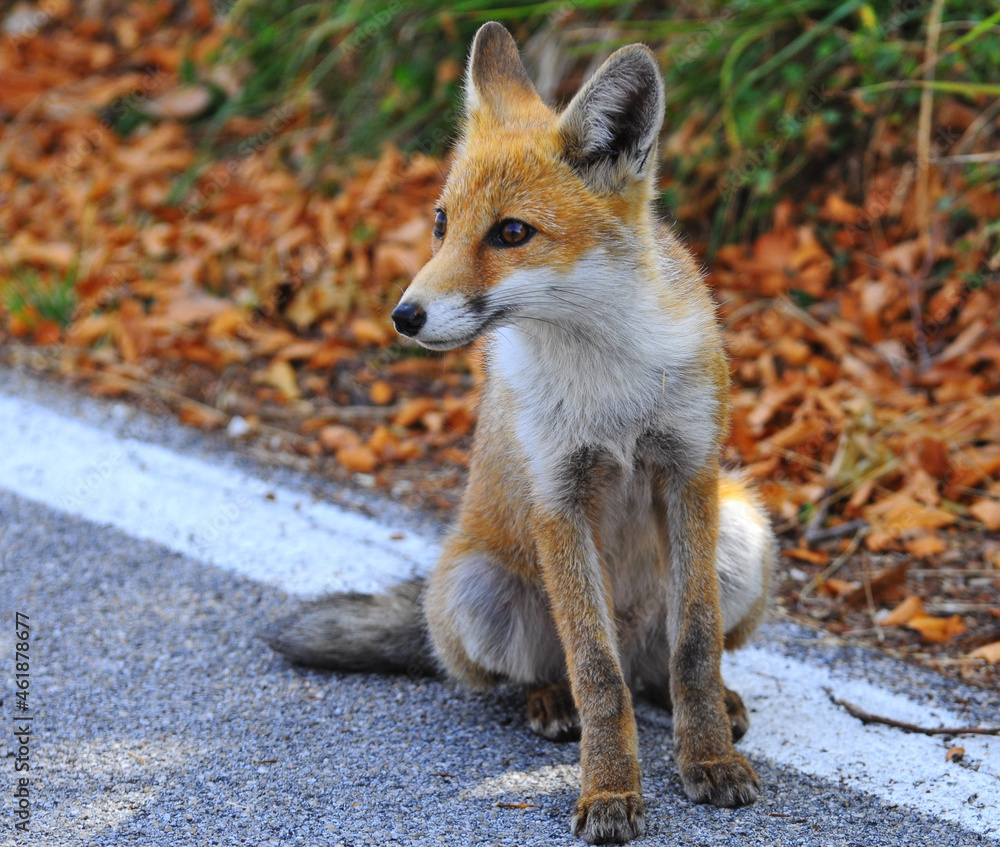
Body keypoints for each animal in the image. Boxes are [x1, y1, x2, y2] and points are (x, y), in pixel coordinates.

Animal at [272, 23, 772, 844]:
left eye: (512, 233)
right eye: (442, 223)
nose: (404, 315)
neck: (610, 387)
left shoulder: (690, 472)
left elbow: (696, 648)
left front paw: (707, 757)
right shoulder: (557, 495)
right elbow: (596, 675)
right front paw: (609, 790)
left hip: (742, 531)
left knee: (659, 669)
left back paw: (708, 704)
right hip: (481, 589)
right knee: (567, 670)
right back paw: (551, 704)